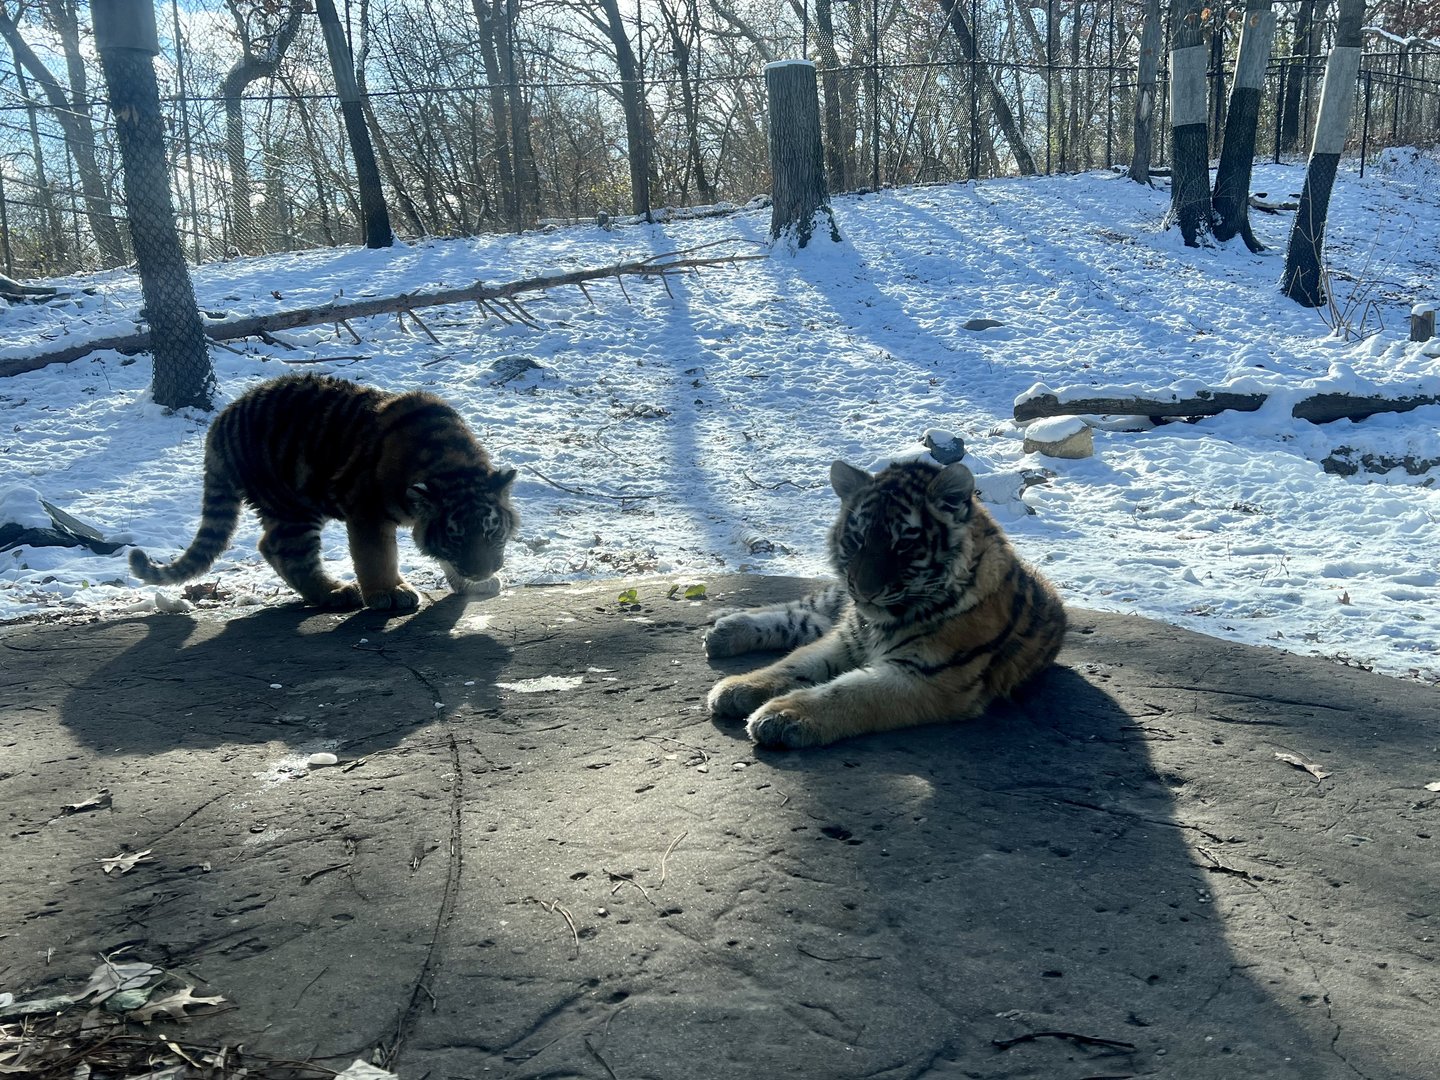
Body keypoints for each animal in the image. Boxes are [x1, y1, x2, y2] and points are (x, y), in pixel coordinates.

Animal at [129, 373, 519, 612]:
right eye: (456, 537)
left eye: (491, 532)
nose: (481, 571)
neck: (451, 463)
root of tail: (220, 422)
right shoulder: (366, 509)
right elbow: (376, 556)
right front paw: (387, 594)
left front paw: (471, 586)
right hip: (292, 506)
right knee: (285, 550)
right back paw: (335, 592)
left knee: (269, 545)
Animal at [705, 457, 1066, 749]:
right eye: (856, 539)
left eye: (903, 544)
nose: (865, 592)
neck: (882, 621)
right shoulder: (845, 640)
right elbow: (793, 663)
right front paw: (737, 687)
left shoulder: (929, 677)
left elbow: (848, 692)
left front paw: (782, 716)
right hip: (836, 601)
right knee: (799, 612)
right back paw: (725, 625)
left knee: (805, 621)